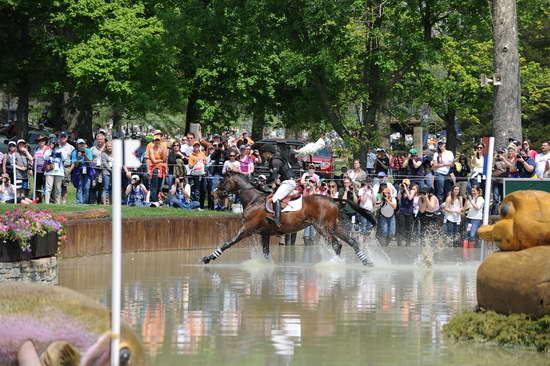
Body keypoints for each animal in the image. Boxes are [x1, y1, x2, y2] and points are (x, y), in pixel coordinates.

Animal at [203, 172, 380, 266]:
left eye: (223, 180)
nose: (213, 194)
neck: (253, 200)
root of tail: (334, 200)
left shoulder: (247, 229)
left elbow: (228, 243)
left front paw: (208, 258)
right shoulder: (264, 233)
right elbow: (265, 252)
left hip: (322, 228)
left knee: (337, 244)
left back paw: (333, 264)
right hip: (335, 227)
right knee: (352, 242)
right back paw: (367, 262)